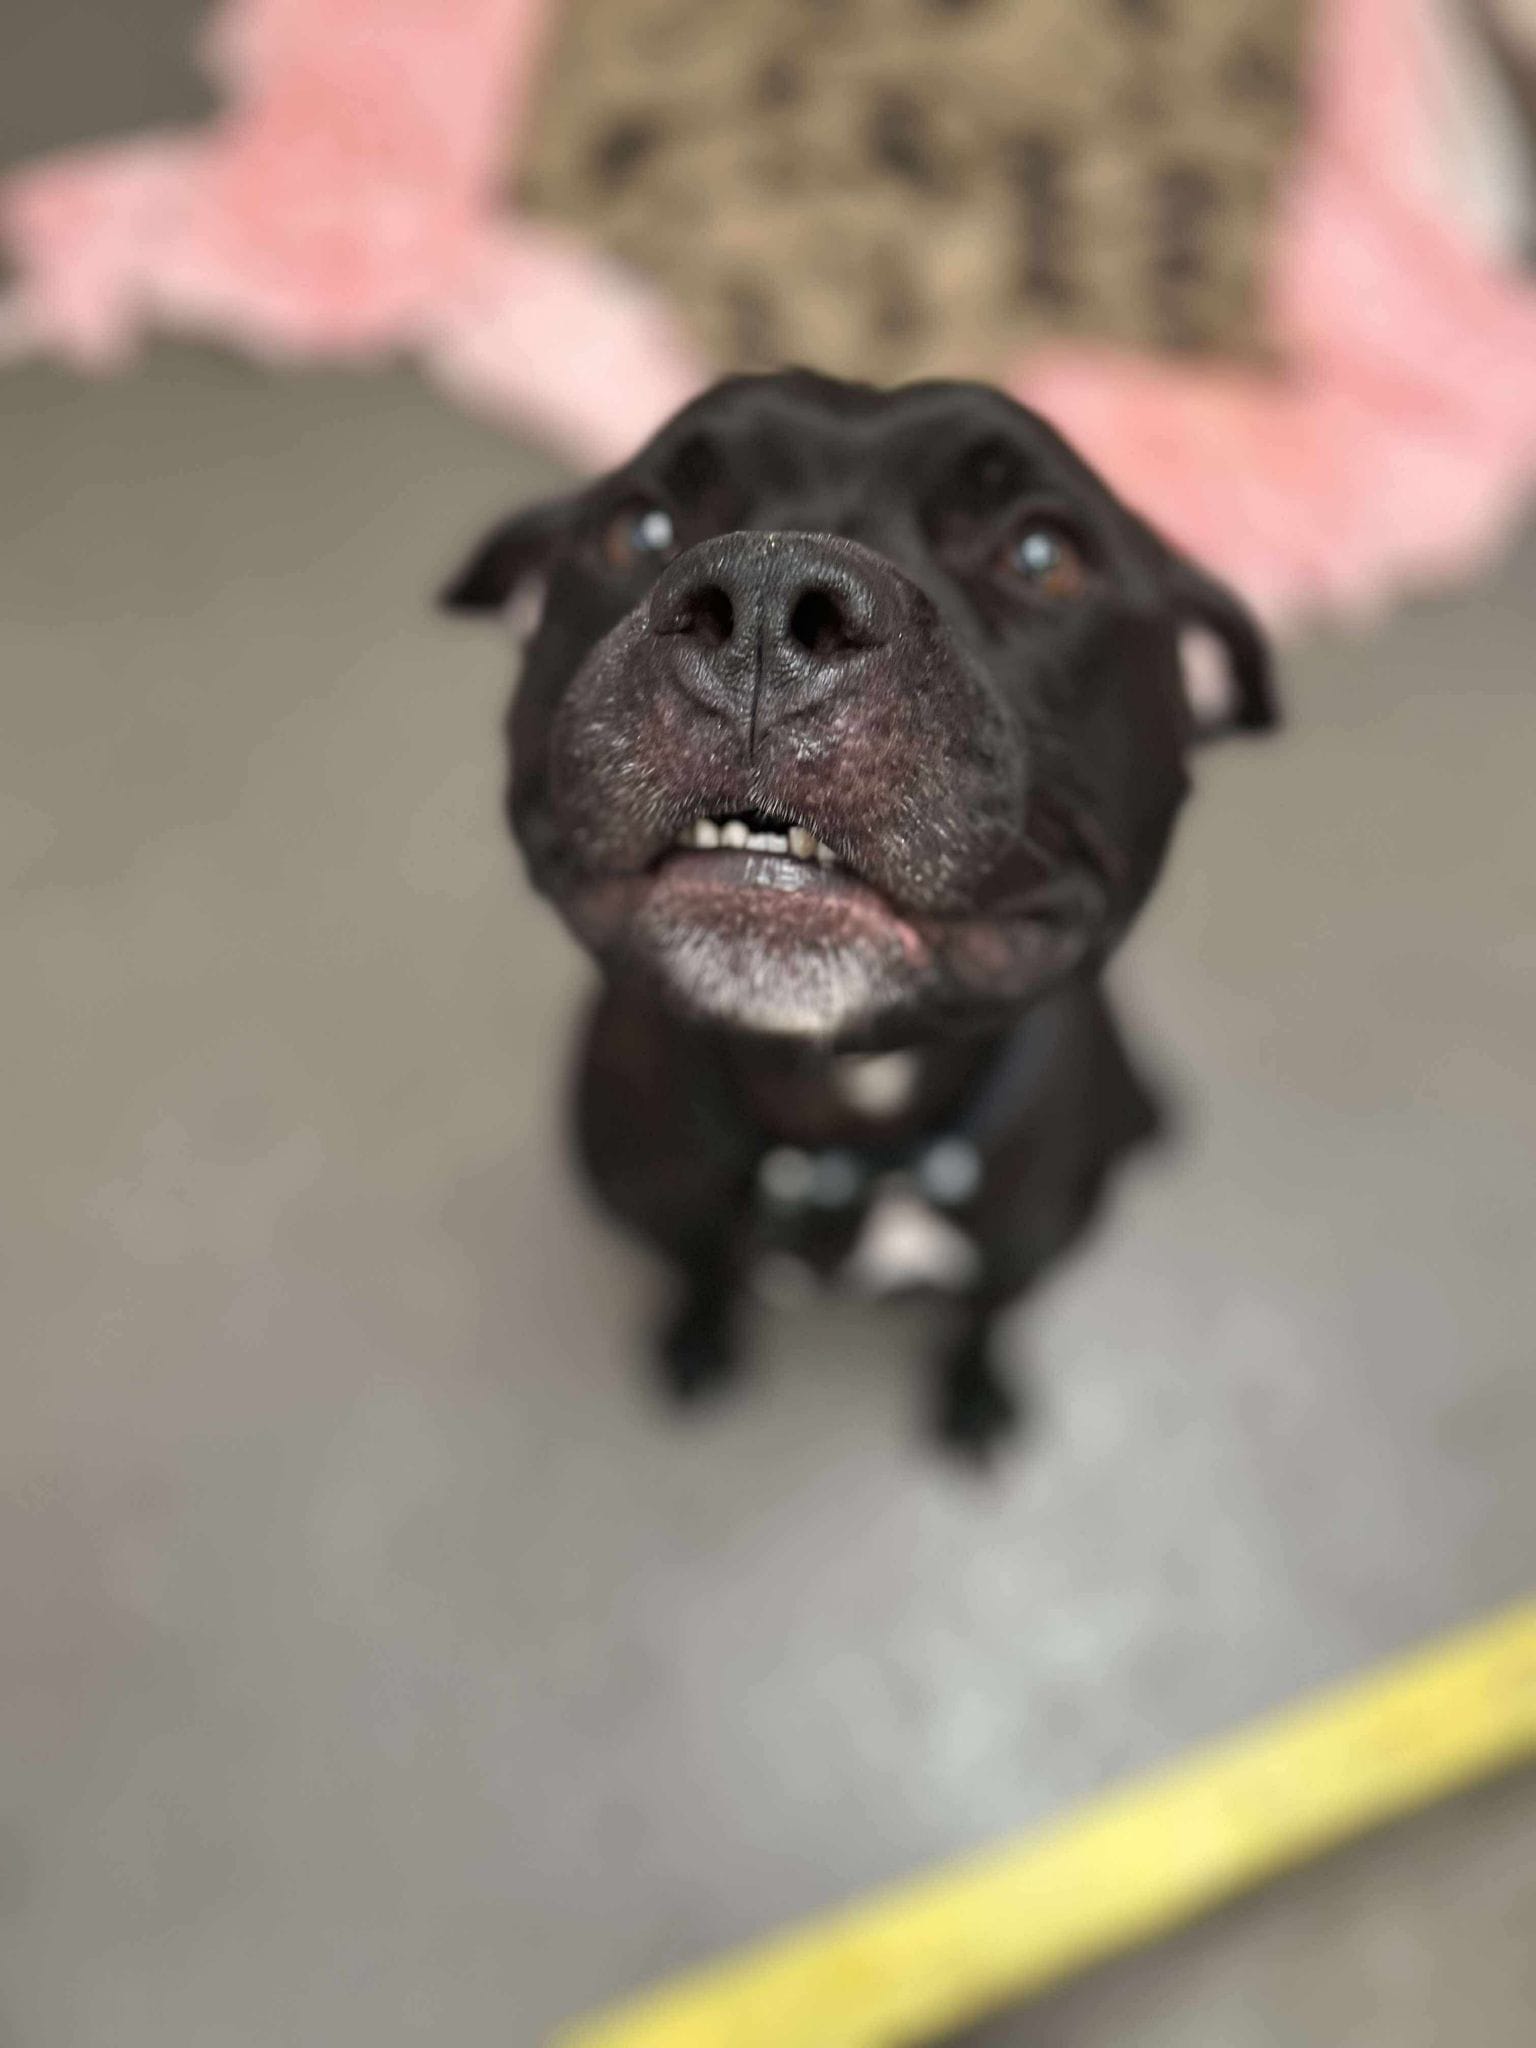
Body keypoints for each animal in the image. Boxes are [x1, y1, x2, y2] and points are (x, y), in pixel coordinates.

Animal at [443, 372, 1277, 1457]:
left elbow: (982, 1317)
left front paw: (976, 1398)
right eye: (640, 526)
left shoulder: (1020, 1252)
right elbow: (701, 1269)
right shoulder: (667, 1210)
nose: (764, 597)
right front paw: (698, 1340)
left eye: (1043, 554)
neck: (843, 1126)